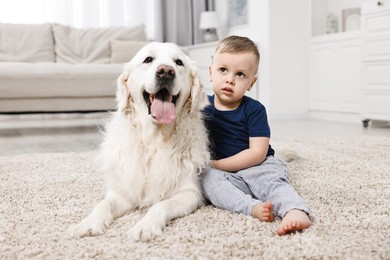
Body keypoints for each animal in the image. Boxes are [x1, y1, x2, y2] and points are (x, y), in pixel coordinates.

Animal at [68, 42, 212, 240]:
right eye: (148, 59)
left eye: (178, 62)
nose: (166, 72)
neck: (154, 139)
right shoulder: (124, 190)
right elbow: (103, 204)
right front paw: (89, 223)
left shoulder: (190, 192)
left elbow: (160, 204)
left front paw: (145, 226)